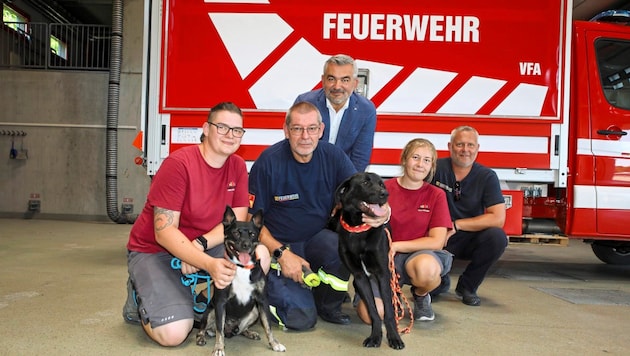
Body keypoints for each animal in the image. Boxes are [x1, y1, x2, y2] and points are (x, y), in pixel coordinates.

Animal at [196, 206, 288, 356]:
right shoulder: (220, 302)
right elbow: (219, 331)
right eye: (236, 233)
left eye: (252, 234)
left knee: (240, 330)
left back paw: (249, 333)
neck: (242, 267)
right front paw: (219, 348)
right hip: (211, 311)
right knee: (205, 329)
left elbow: (268, 325)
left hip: (254, 311)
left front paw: (274, 344)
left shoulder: (262, 301)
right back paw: (201, 337)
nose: (246, 244)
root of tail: (230, 330)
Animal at [330, 172, 404, 350]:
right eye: (365, 183)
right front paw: (376, 336)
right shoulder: (360, 277)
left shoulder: (383, 274)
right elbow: (373, 310)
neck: (359, 230)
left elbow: (388, 311)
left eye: (382, 184)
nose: (385, 194)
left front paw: (394, 337)